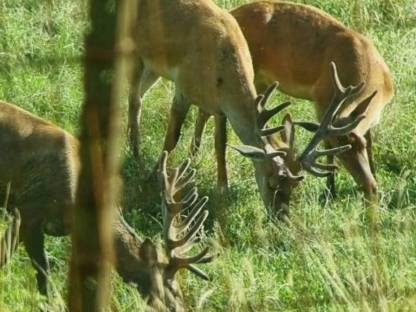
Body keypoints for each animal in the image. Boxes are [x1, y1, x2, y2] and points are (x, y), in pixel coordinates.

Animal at [129, 0, 358, 216]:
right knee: (134, 100)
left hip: (152, 68)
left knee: (139, 95)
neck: (220, 71)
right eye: (271, 183)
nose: (282, 218)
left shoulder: (219, 107)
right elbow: (172, 137)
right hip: (134, 50)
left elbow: (220, 144)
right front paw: (154, 175)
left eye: (295, 186)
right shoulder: (183, 87)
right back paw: (135, 155)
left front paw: (223, 188)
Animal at [192, 0, 394, 200]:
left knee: (205, 110)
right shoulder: (321, 101)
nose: (370, 189)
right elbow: (325, 142)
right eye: (341, 153)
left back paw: (194, 155)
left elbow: (370, 140)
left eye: (361, 146)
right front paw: (330, 191)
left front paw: (376, 178)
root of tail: (232, 12)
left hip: (259, 83)